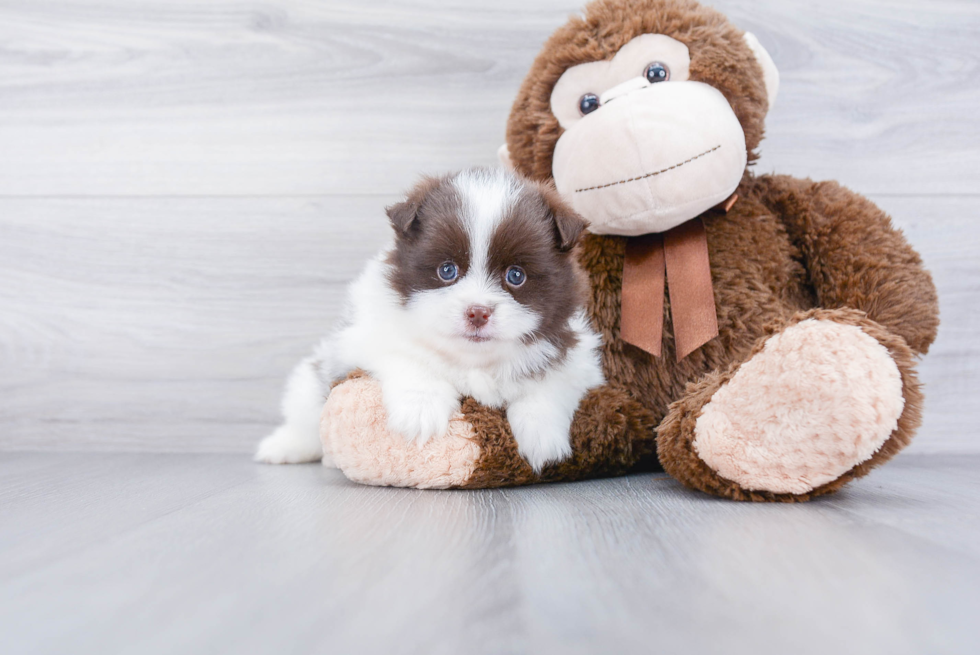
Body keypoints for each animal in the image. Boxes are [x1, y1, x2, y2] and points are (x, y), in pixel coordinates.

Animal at [253, 169, 604, 474]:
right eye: (447, 270)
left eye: (515, 276)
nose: (478, 312)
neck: (473, 360)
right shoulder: (368, 335)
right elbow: (412, 359)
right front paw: (421, 412)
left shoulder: (577, 357)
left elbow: (550, 385)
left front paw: (543, 437)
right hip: (311, 379)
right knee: (306, 414)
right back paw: (285, 447)